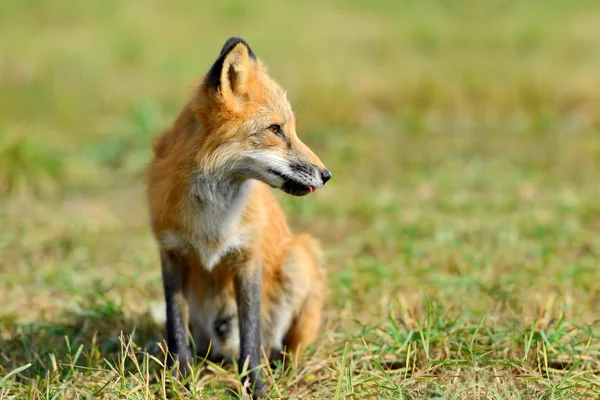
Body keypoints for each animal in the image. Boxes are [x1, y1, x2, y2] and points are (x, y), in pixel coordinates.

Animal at [147, 36, 330, 396]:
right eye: (275, 129)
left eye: (291, 129)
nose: (327, 175)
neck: (212, 217)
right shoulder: (171, 254)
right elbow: (175, 328)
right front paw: (179, 380)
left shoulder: (247, 256)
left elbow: (251, 332)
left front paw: (255, 385)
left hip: (300, 256)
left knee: (283, 347)